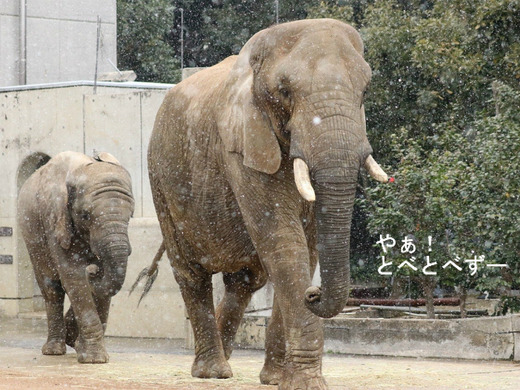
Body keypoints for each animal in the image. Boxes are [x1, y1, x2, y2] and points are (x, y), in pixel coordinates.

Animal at [17, 151, 134, 364]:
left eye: (130, 215)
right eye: (86, 215)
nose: (93, 270)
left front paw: (81, 347)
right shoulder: (55, 220)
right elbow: (73, 276)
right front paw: (94, 359)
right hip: (32, 239)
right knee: (52, 288)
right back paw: (54, 350)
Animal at [146, 19, 386, 390]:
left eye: (365, 92)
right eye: (284, 91)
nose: (314, 294)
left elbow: (307, 245)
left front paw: (278, 380)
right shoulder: (242, 145)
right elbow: (283, 242)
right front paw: (306, 384)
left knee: (246, 280)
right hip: (160, 177)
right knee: (191, 273)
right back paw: (212, 371)